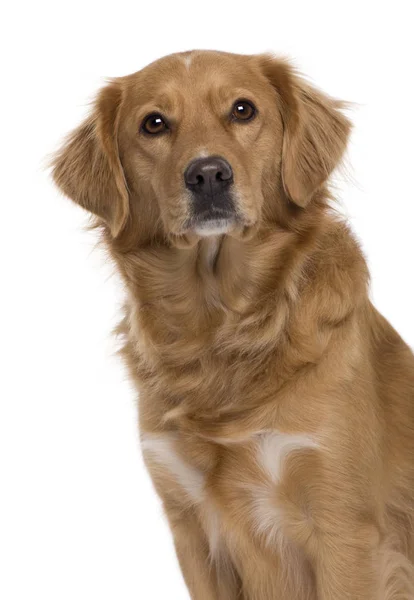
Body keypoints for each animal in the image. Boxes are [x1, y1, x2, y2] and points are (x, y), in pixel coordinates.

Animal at [51, 50, 414, 596]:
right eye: (153, 123)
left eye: (243, 110)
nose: (207, 174)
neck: (221, 325)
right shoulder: (192, 528)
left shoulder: (346, 530)